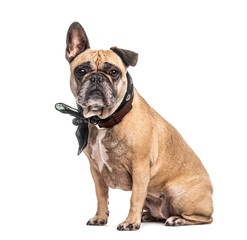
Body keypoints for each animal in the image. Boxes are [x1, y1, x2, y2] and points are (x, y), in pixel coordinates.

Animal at [64, 21, 213, 230]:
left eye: (114, 72)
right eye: (81, 71)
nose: (96, 78)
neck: (105, 120)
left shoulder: (140, 168)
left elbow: (135, 197)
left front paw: (130, 222)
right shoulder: (96, 171)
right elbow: (101, 196)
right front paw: (100, 217)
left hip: (178, 193)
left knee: (205, 218)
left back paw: (177, 219)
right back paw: (148, 215)